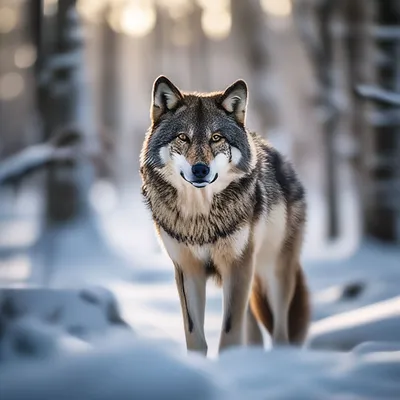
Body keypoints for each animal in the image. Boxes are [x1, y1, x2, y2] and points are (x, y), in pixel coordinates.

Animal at [139, 76, 310, 354]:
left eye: (216, 137)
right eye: (183, 137)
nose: (200, 169)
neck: (199, 219)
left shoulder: (237, 265)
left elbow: (230, 331)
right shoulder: (188, 270)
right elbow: (195, 335)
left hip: (273, 272)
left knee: (280, 332)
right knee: (253, 332)